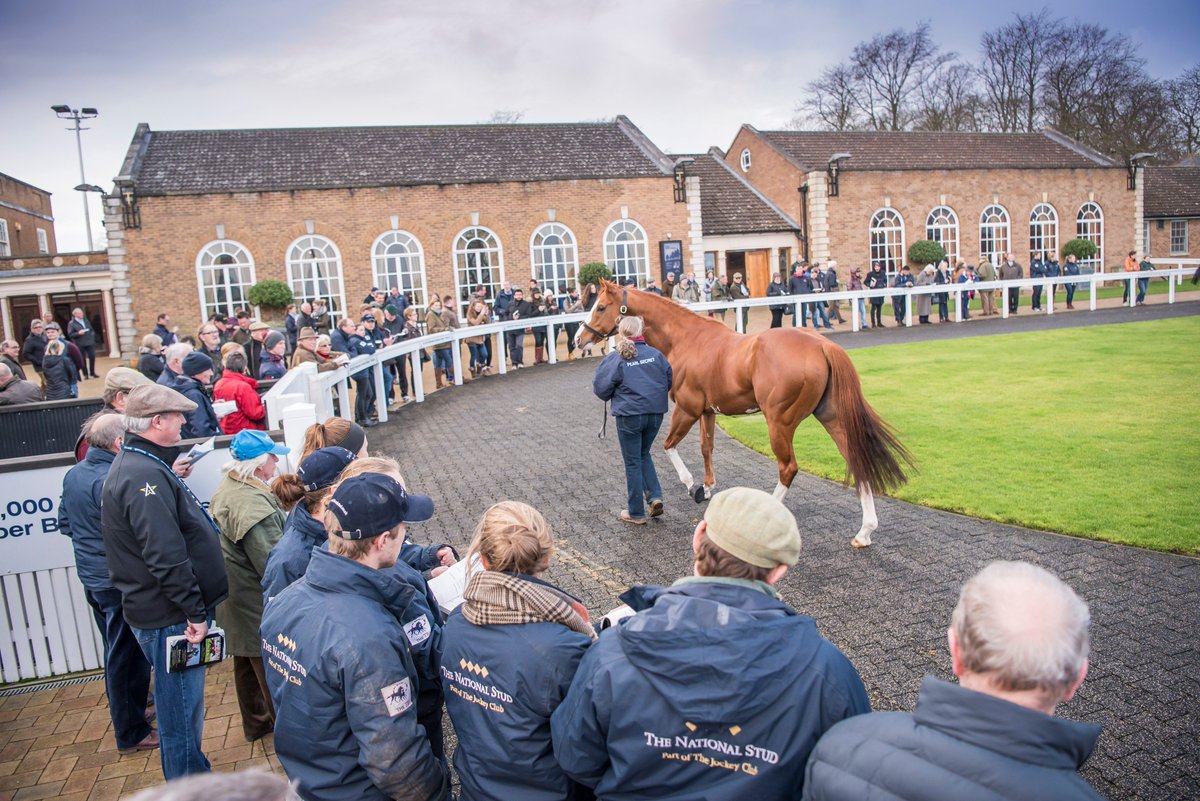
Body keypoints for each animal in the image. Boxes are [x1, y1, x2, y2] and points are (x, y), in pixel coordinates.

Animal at [575, 280, 913, 547]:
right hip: (832, 418)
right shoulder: (707, 411)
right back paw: (864, 532)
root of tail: (822, 345)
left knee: (788, 468)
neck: (687, 340)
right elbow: (706, 447)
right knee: (856, 460)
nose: (580, 339)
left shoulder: (687, 408)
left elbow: (668, 445)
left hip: (779, 421)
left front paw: (692, 485)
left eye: (601, 307)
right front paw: (707, 488)